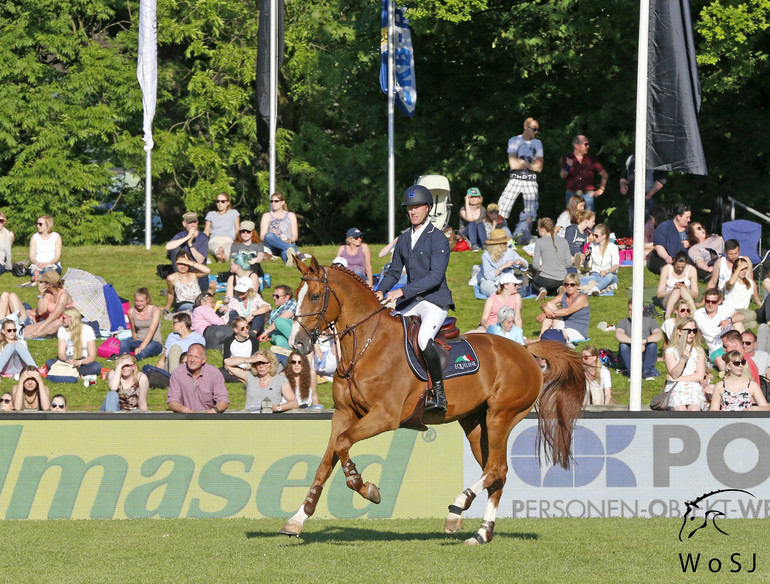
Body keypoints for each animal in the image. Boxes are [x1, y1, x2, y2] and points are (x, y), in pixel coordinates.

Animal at [282, 258, 584, 544]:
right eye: (296, 294)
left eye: (315, 296)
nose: (297, 343)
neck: (365, 345)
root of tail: (525, 350)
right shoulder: (344, 414)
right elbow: (327, 461)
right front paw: (297, 519)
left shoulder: (385, 416)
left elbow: (344, 443)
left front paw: (365, 487)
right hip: (476, 425)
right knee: (496, 474)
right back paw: (481, 533)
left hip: (501, 416)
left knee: (497, 468)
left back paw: (457, 508)